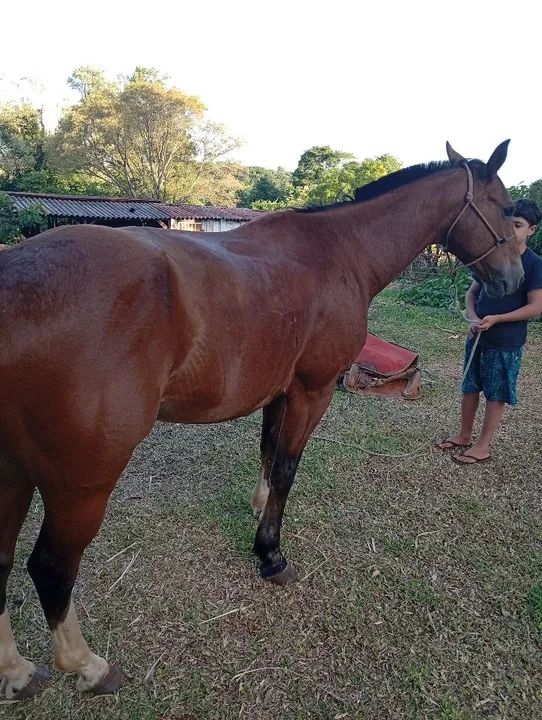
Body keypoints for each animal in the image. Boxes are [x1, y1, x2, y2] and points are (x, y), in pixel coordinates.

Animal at [0, 141, 523, 698]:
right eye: (502, 207)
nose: (514, 280)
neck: (341, 251)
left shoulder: (280, 390)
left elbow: (269, 455)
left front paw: (258, 512)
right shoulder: (313, 390)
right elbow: (288, 468)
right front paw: (270, 554)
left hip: (12, 473)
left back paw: (17, 672)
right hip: (82, 482)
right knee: (51, 567)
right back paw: (88, 666)